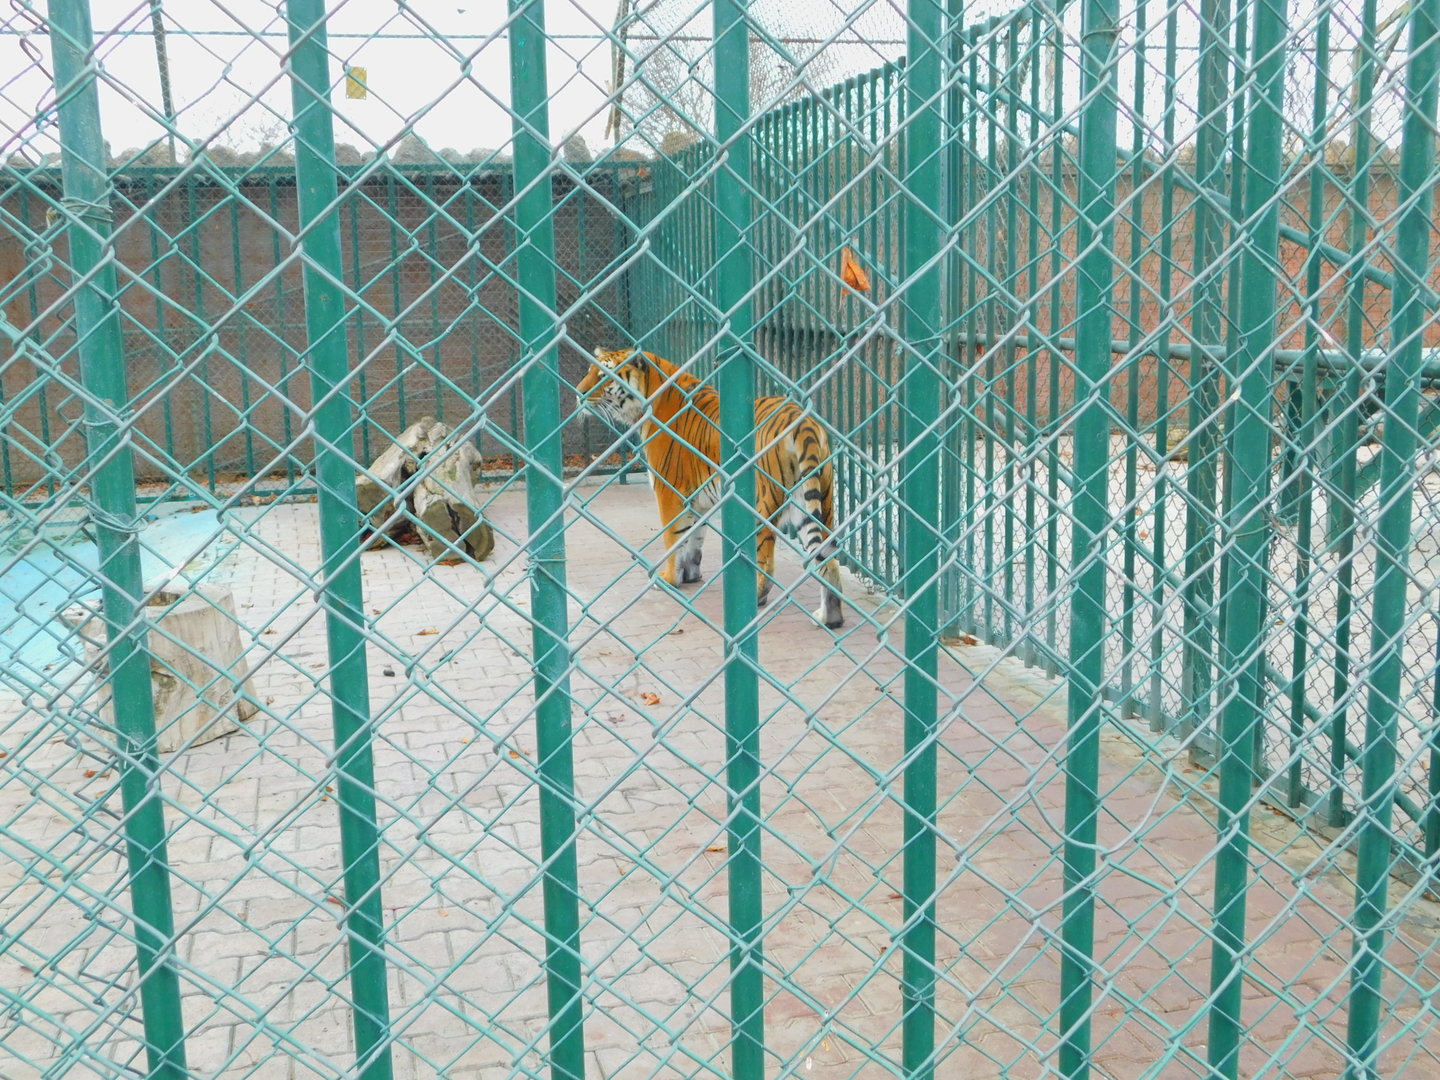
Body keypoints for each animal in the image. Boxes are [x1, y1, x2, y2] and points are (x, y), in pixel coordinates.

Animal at [576, 347, 845, 629]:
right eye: (589, 371)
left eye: (603, 375)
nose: (579, 391)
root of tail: (804, 422)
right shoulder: (697, 499)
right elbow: (694, 537)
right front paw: (690, 574)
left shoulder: (669, 491)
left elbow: (673, 538)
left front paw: (669, 579)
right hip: (817, 504)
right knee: (828, 561)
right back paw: (830, 618)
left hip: (763, 505)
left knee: (767, 564)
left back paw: (754, 603)